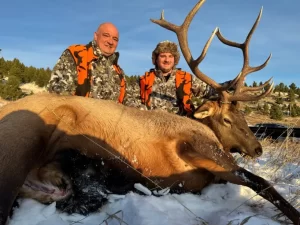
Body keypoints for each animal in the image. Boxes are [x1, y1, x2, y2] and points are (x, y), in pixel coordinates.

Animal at [0, 1, 298, 225]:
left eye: (244, 117)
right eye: (226, 119)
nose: (258, 148)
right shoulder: (201, 145)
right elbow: (260, 181)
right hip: (21, 141)